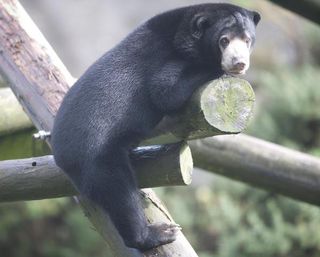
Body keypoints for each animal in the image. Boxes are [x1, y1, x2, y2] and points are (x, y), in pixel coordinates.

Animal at [50, 3, 260, 249]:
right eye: (224, 40)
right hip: (97, 157)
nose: (239, 63)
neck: (184, 35)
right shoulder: (168, 61)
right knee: (121, 194)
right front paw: (218, 70)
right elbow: (164, 90)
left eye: (247, 40)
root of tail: (60, 155)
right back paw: (158, 233)